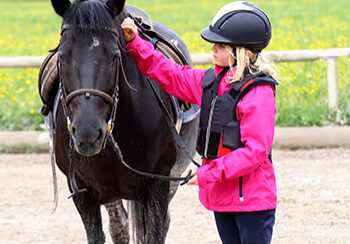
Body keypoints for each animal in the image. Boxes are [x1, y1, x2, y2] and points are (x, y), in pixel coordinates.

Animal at [48, 0, 198, 243]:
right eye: (62, 56)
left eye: (114, 55)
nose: (87, 134)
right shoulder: (83, 191)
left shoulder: (158, 182)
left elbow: (155, 232)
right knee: (120, 226)